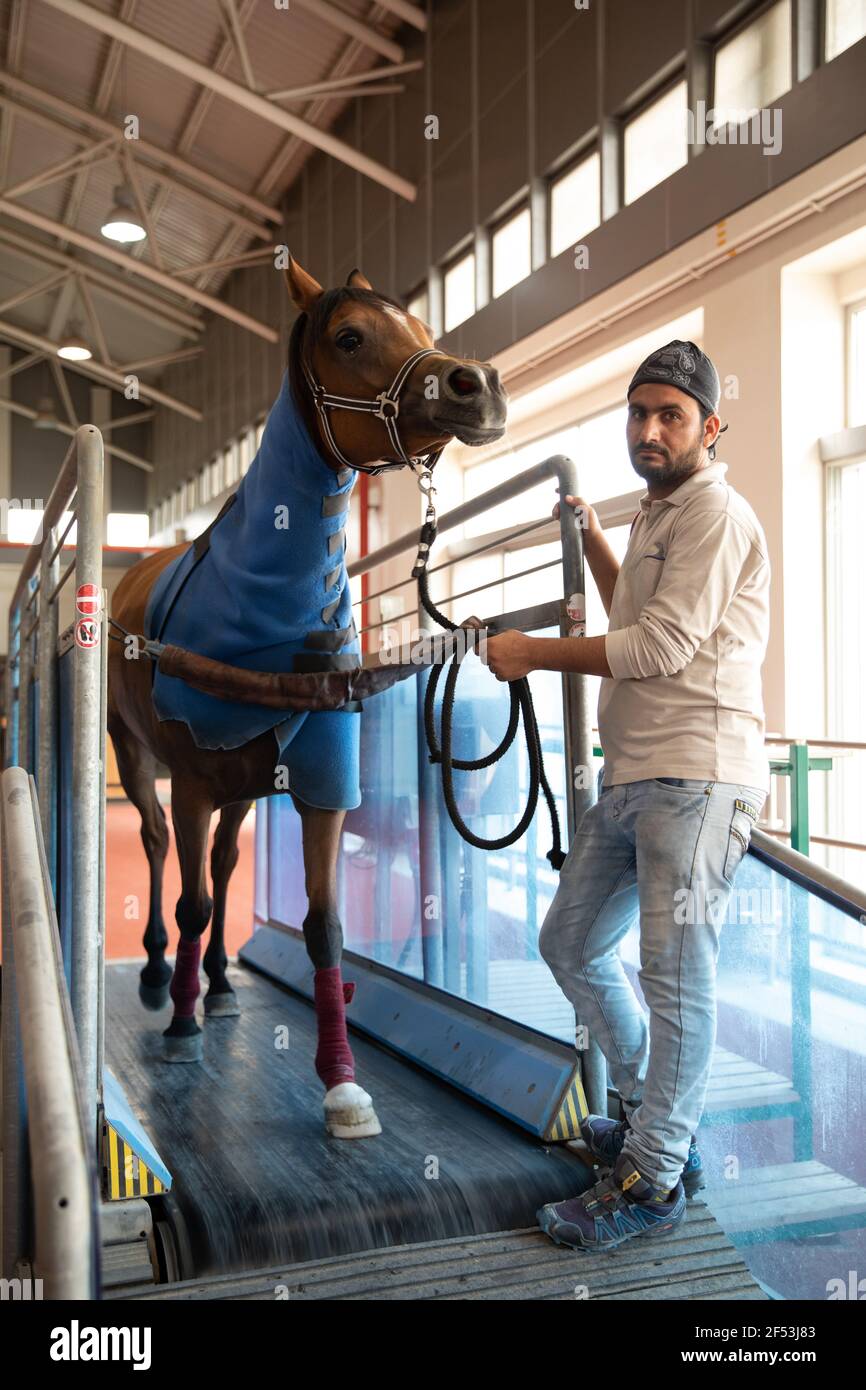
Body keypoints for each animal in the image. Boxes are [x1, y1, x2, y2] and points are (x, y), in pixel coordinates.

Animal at [107, 258, 508, 1139]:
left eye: (423, 327)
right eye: (348, 337)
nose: (479, 385)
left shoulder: (322, 781)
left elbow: (324, 927)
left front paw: (341, 1083)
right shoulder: (193, 782)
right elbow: (190, 902)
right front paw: (180, 1027)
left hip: (244, 787)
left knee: (226, 867)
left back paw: (221, 984)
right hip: (140, 757)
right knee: (158, 848)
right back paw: (159, 977)